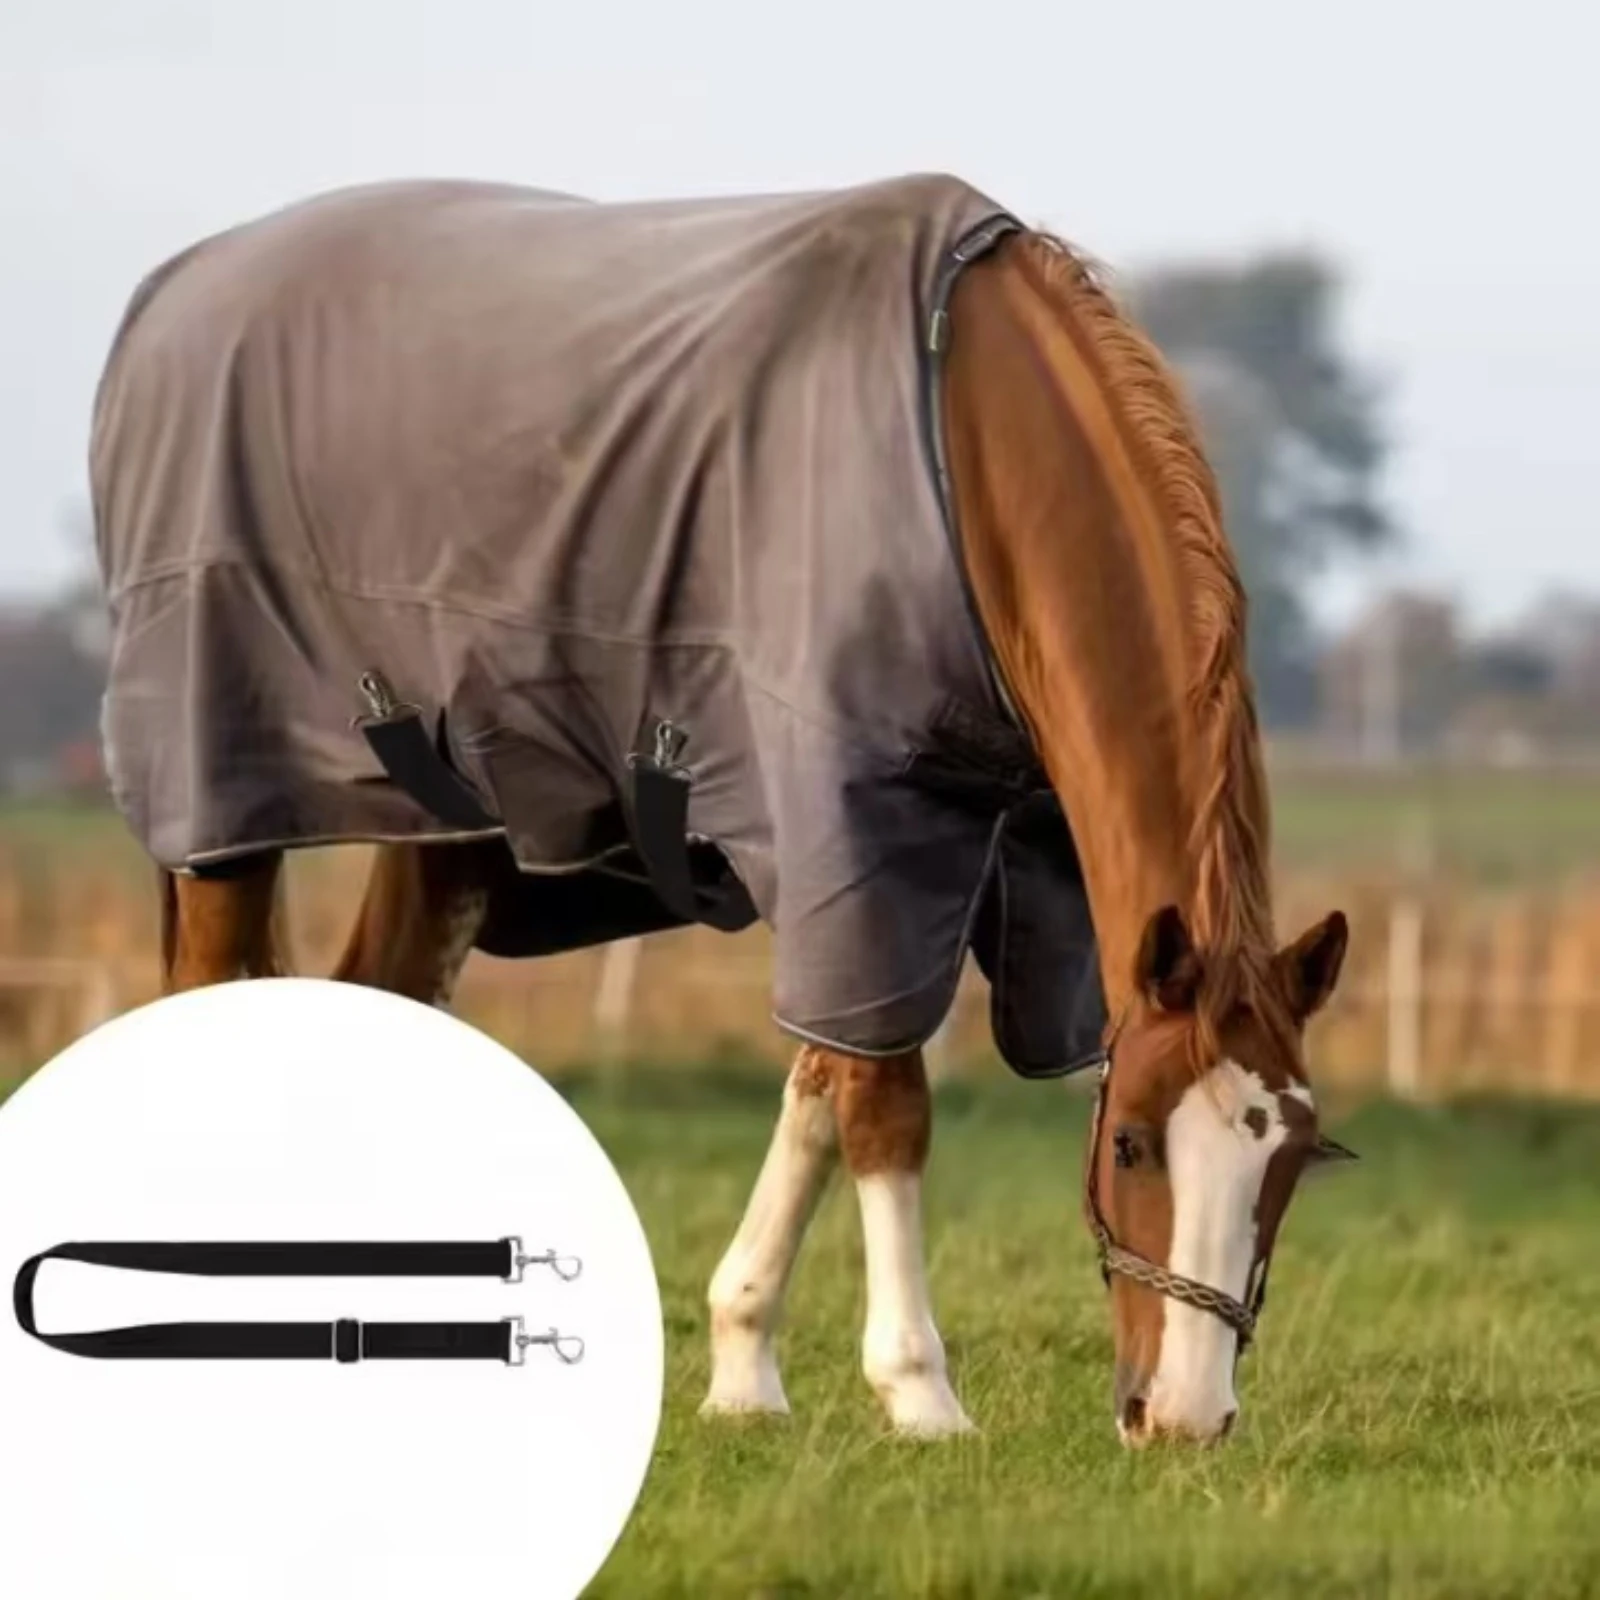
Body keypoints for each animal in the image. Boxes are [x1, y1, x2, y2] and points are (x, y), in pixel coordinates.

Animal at [94, 174, 1352, 1446]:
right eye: (1133, 1142)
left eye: (1296, 1160)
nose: (1184, 1417)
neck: (961, 455)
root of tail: (175, 287)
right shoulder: (848, 826)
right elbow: (883, 1108)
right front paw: (919, 1391)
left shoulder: (907, 864)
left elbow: (821, 1089)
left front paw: (743, 1365)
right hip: (223, 807)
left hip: (439, 827)